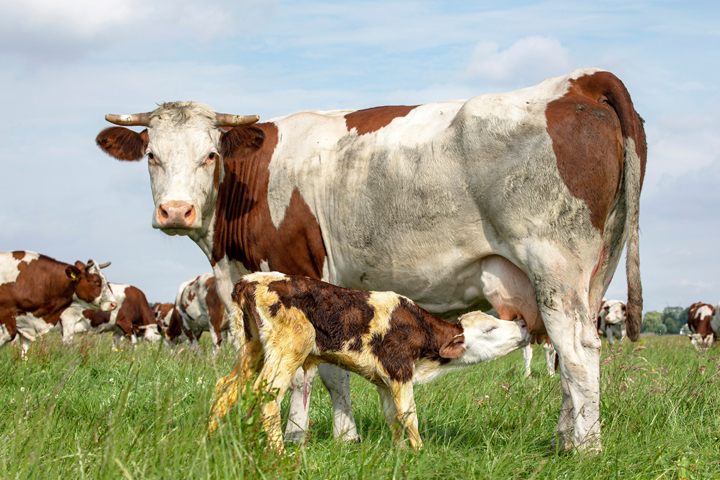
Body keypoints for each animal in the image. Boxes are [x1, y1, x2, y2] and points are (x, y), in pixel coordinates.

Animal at [209, 272, 530, 452]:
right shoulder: (401, 370)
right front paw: (420, 452)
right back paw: (279, 454)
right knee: (267, 393)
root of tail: (249, 280)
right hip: (290, 346)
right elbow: (409, 416)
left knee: (225, 386)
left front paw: (401, 452)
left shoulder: (385, 381)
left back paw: (208, 437)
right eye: (490, 329)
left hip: (253, 348)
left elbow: (392, 417)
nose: (524, 323)